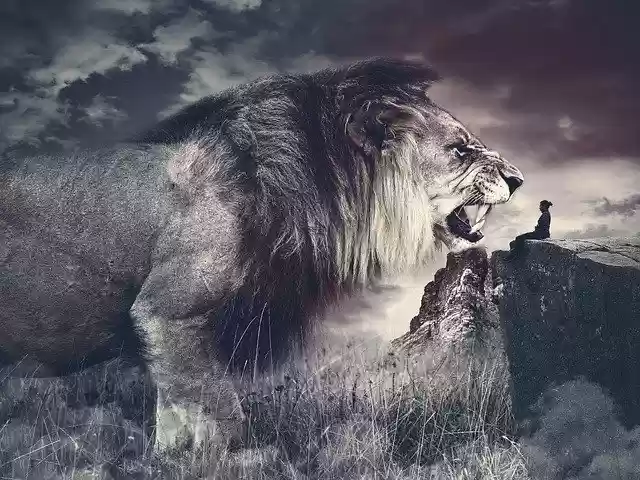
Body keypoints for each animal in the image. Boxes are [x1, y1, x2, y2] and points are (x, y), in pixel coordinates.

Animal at [0, 58, 523, 457]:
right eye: (460, 150)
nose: (518, 179)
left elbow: (176, 411)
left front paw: (172, 458)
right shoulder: (166, 311)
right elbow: (218, 409)